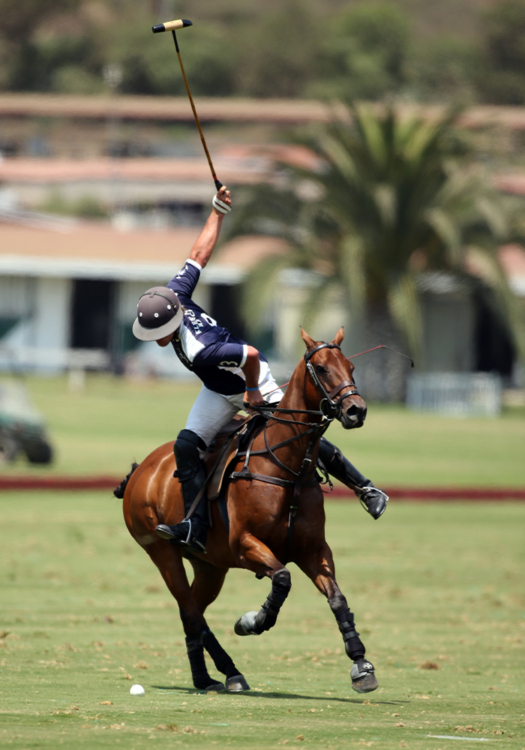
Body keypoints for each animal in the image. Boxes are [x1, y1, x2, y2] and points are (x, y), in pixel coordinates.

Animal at [121, 332, 378, 696]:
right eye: (322, 369)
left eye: (351, 367)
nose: (356, 410)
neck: (287, 468)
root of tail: (141, 470)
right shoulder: (245, 545)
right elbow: (282, 579)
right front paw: (250, 622)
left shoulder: (313, 550)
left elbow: (337, 598)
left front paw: (361, 665)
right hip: (162, 553)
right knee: (191, 611)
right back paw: (231, 671)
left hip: (210, 566)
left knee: (191, 613)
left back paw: (204, 677)